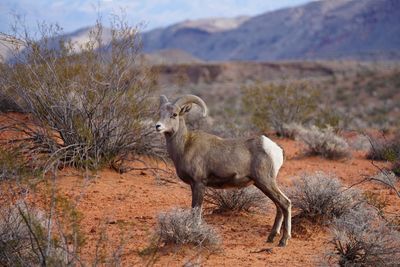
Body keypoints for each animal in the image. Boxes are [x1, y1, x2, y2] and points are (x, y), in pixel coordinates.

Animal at [155, 94, 290, 247]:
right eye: (160, 113)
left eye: (174, 114)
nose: (158, 126)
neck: (184, 146)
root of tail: (276, 148)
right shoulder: (194, 185)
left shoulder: (199, 184)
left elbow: (196, 212)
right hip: (263, 184)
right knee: (279, 206)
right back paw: (271, 237)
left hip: (265, 182)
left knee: (285, 203)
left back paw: (283, 241)